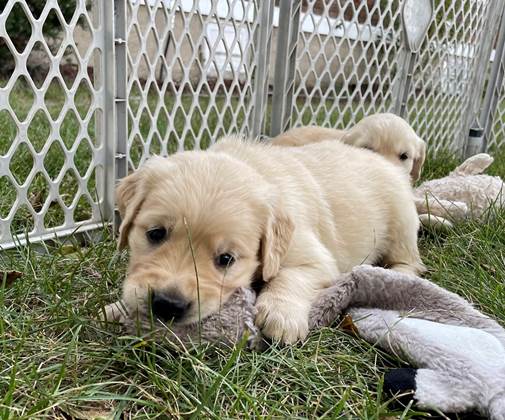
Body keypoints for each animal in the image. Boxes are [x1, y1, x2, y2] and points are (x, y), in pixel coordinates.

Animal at [116, 138, 424, 344]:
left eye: (226, 259)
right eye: (155, 233)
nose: (168, 304)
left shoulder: (316, 258)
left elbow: (292, 276)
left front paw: (281, 314)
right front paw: (117, 309)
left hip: (402, 223)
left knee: (410, 260)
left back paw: (399, 276)